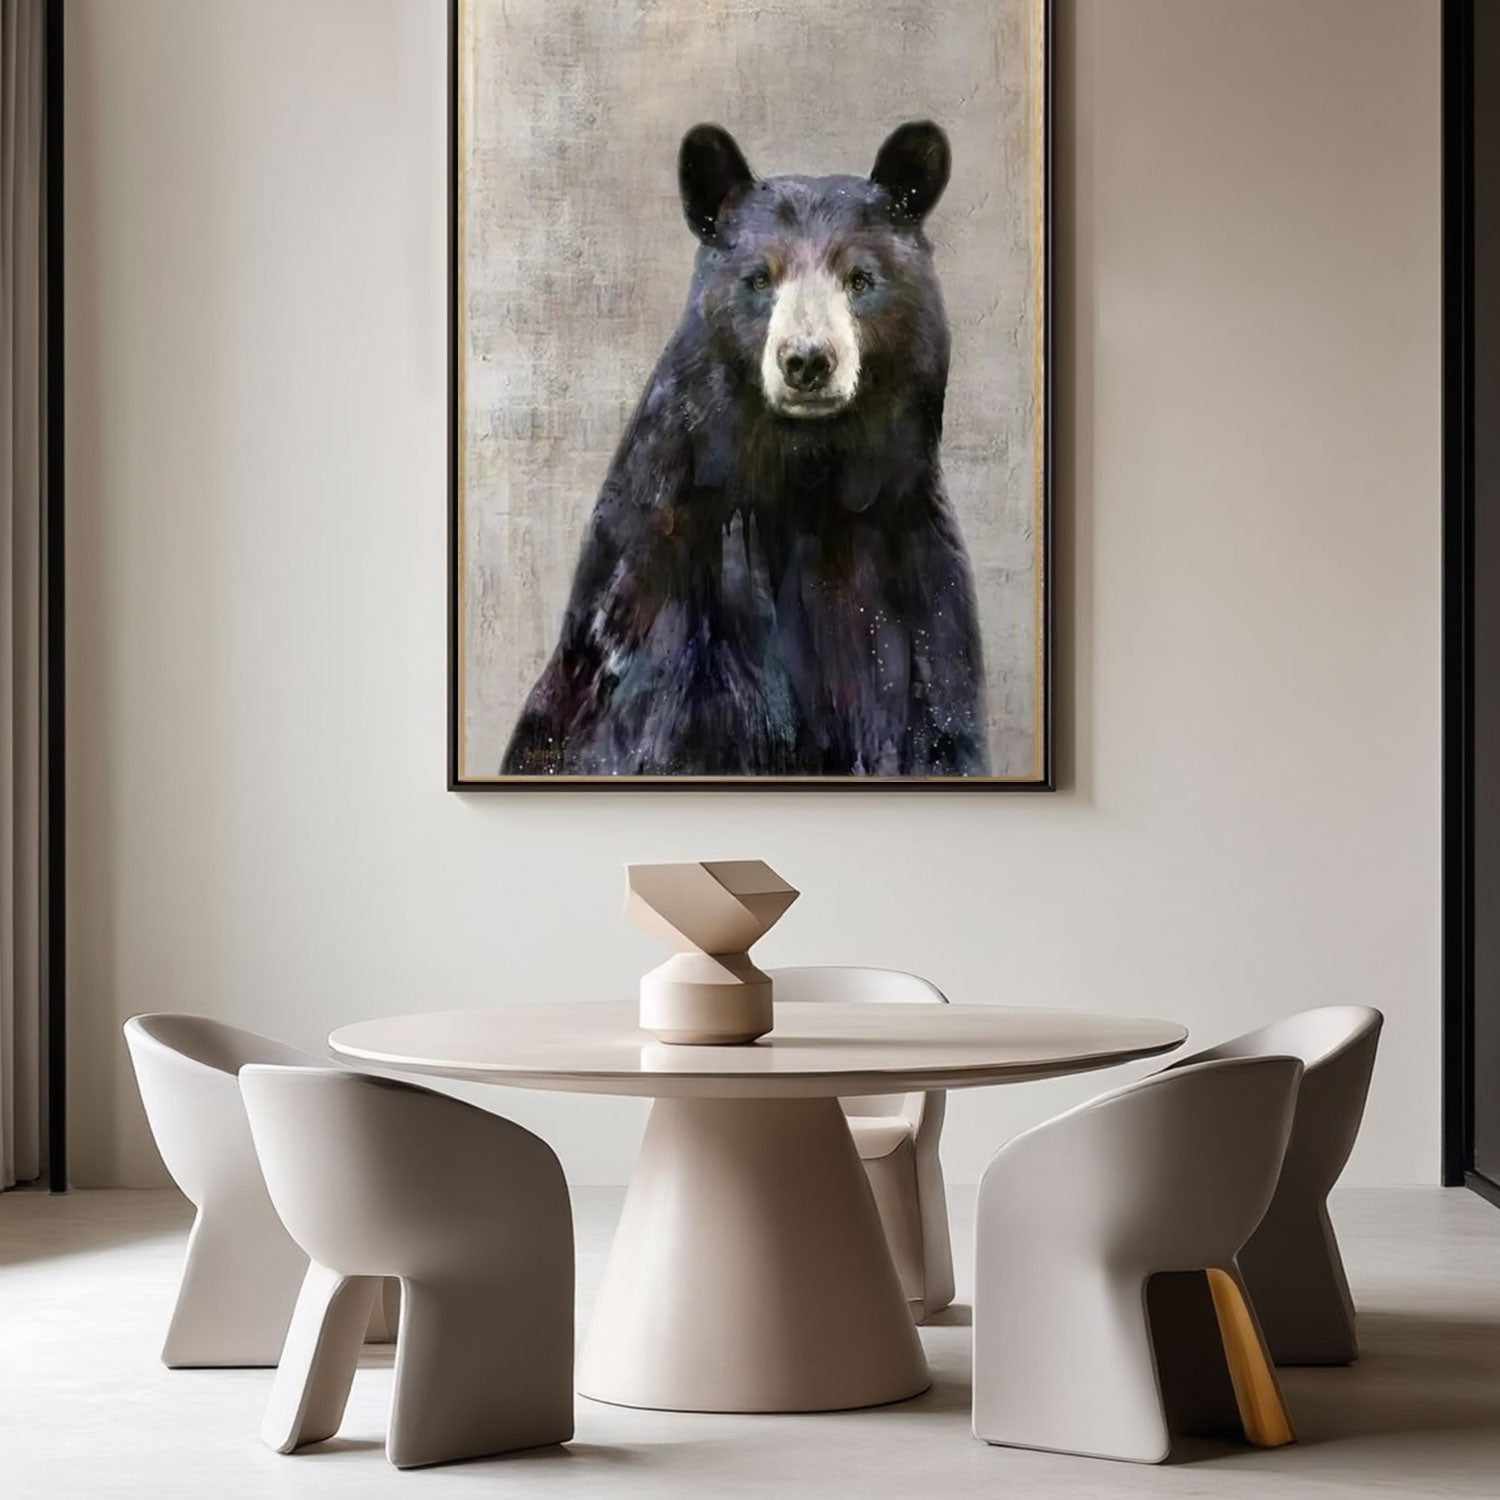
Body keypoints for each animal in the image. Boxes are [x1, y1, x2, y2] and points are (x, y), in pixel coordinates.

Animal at [502, 120, 990, 778]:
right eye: (760, 278)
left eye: (860, 279)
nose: (807, 361)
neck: (806, 480)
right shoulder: (669, 606)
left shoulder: (916, 589)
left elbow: (937, 724)